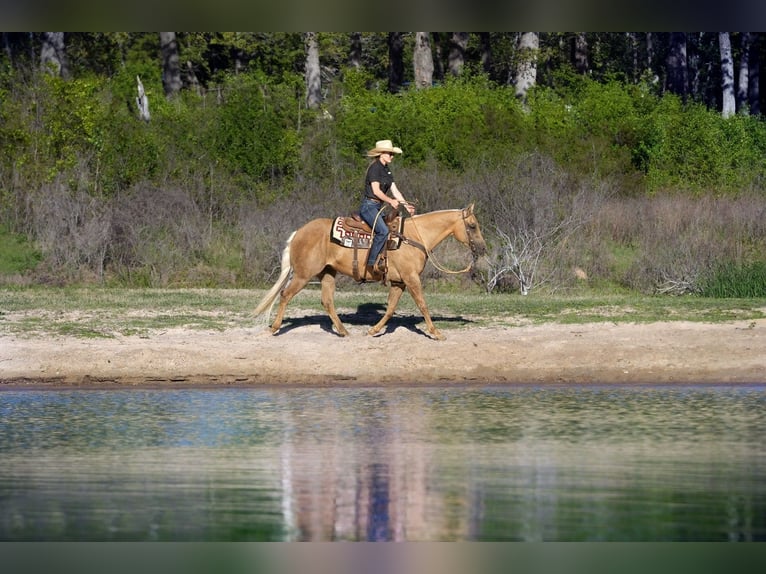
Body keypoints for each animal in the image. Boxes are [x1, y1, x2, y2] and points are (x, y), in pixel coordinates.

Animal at [255, 204, 488, 342]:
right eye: (472, 225)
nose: (483, 248)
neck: (414, 237)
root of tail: (299, 232)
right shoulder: (411, 278)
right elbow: (422, 304)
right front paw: (436, 333)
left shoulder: (399, 282)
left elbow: (391, 308)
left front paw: (374, 330)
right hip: (303, 274)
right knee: (285, 294)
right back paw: (275, 328)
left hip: (328, 273)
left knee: (327, 301)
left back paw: (343, 331)